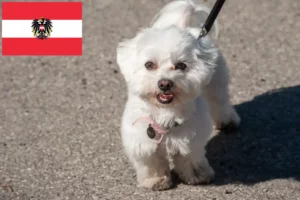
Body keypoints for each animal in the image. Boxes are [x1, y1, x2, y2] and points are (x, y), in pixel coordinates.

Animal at [116, 0, 240, 191]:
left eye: (181, 65)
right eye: (149, 64)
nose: (165, 83)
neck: (165, 112)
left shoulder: (191, 138)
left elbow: (190, 157)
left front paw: (198, 175)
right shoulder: (142, 140)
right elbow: (151, 162)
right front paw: (156, 180)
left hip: (216, 81)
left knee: (219, 100)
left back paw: (227, 120)